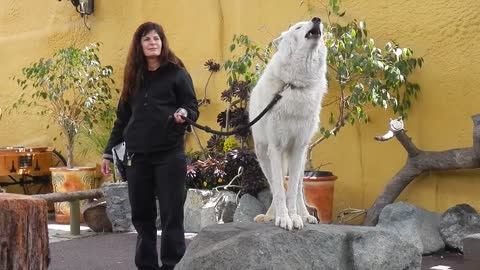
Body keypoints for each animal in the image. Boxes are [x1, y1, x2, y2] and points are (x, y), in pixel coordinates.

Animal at [249, 16, 328, 230]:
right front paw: (282, 218)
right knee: (274, 186)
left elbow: (291, 191)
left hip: (300, 159)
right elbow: (278, 189)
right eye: (298, 27)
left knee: (299, 188)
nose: (317, 19)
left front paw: (295, 218)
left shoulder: (298, 149)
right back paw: (270, 215)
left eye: (312, 21)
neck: (295, 85)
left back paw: (306, 216)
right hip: (263, 156)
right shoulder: (275, 148)